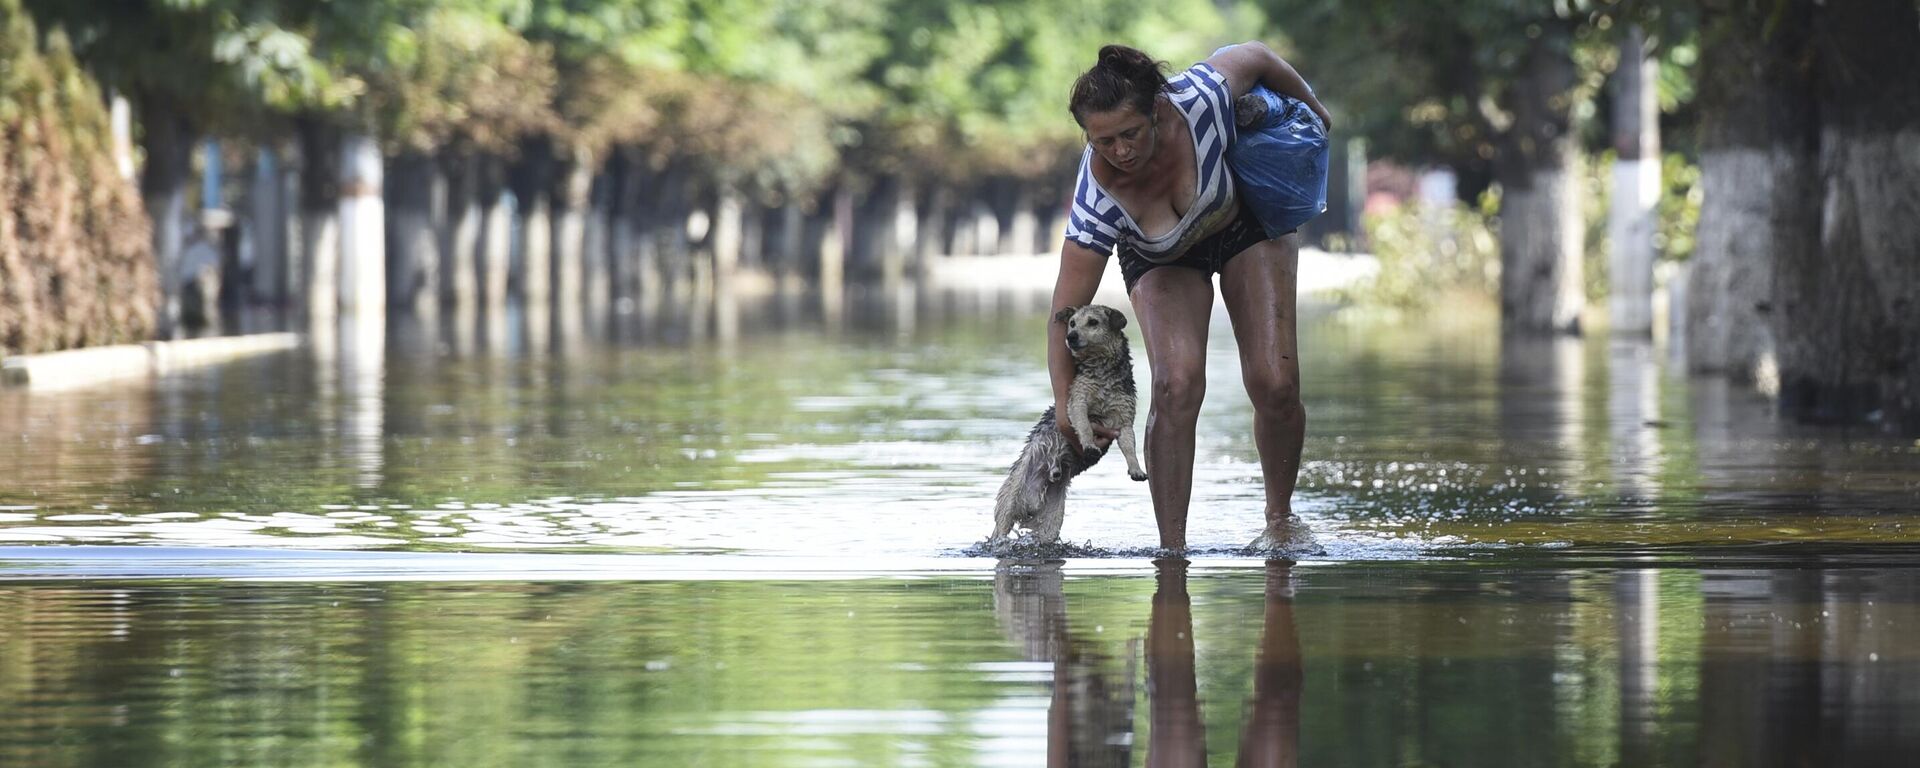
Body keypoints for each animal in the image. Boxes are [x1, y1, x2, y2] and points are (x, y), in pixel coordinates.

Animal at [990, 305, 1136, 545]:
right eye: (1072, 323)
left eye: (1093, 322)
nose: (1071, 337)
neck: (1102, 373)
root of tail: (1033, 500)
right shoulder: (1076, 402)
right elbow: (1084, 425)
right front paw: (1089, 444)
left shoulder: (1125, 419)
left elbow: (1129, 447)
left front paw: (1136, 469)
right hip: (1011, 496)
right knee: (1001, 526)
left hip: (1052, 519)